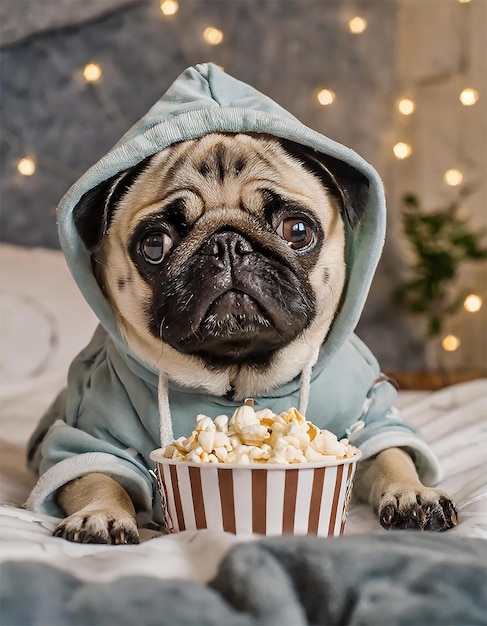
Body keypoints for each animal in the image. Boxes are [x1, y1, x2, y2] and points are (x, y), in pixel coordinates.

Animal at [47, 132, 456, 540]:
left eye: (297, 231)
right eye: (154, 244)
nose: (227, 245)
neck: (237, 376)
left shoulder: (373, 418)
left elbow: (392, 456)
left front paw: (413, 494)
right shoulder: (91, 438)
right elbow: (99, 478)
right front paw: (100, 515)